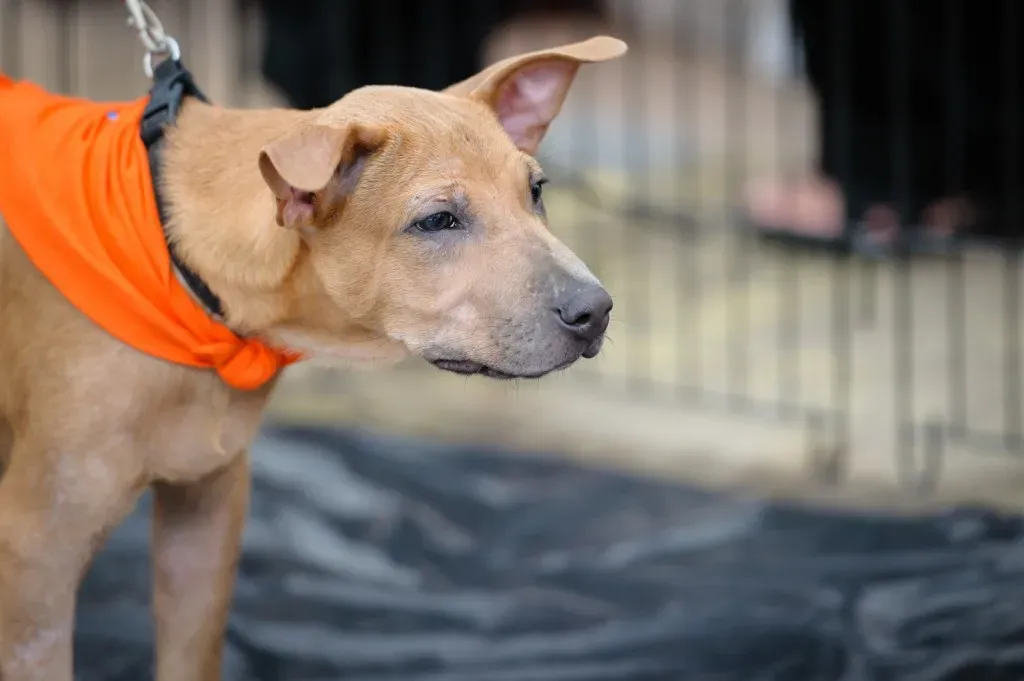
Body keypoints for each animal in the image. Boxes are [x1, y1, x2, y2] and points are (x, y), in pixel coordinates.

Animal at [0, 35, 622, 679]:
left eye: (536, 192)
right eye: (438, 220)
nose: (596, 310)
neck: (183, 278)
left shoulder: (206, 511)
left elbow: (192, 651)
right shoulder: (35, 553)